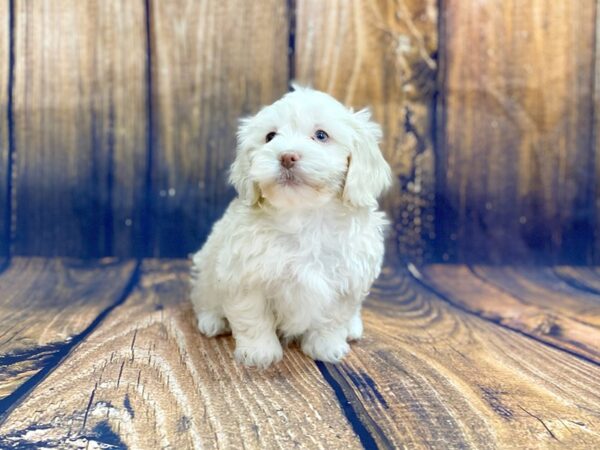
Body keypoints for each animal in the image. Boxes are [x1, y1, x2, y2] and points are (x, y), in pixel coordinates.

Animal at [190, 86, 392, 368]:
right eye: (270, 136)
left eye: (321, 135)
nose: (287, 156)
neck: (304, 215)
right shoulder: (244, 277)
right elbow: (253, 316)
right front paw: (259, 352)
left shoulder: (347, 281)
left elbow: (333, 318)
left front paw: (326, 347)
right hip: (207, 269)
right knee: (204, 297)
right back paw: (212, 320)